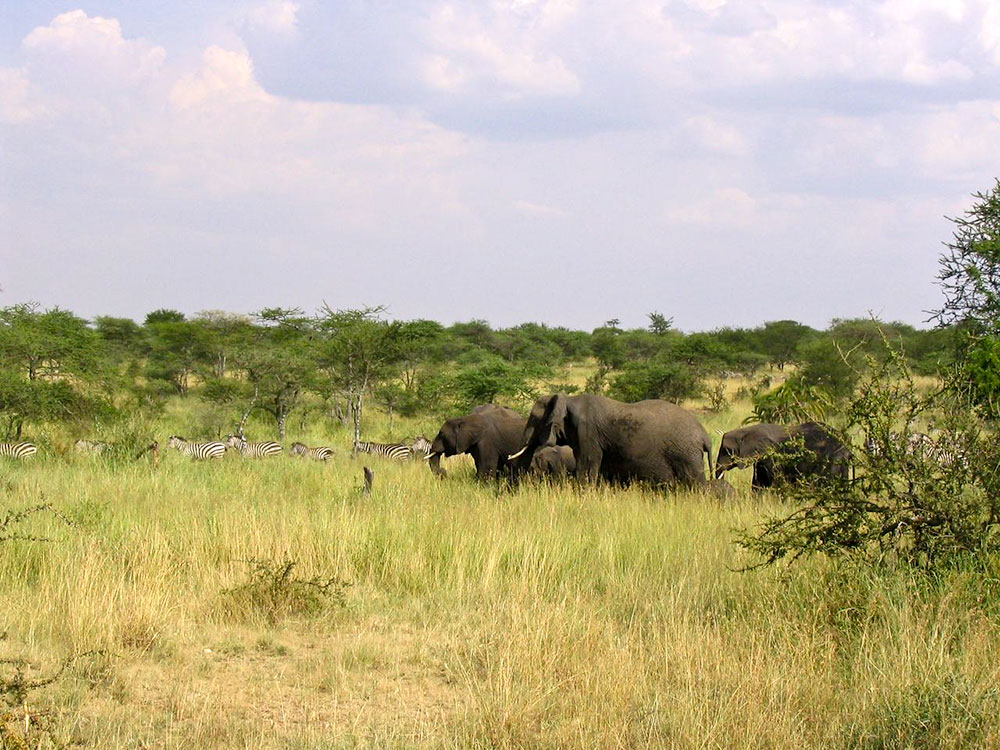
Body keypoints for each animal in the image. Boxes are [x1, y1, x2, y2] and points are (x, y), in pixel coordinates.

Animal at [516, 394, 712, 494]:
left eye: (533, 418)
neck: (567, 398)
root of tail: (705, 436)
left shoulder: (587, 432)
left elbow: (586, 465)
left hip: (686, 453)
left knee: (694, 481)